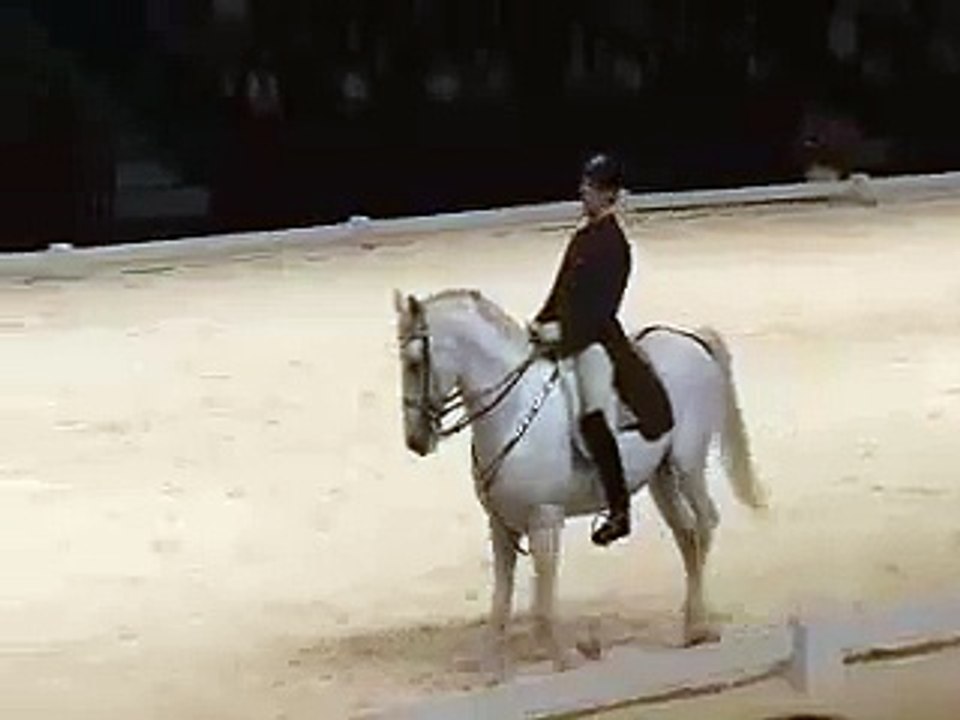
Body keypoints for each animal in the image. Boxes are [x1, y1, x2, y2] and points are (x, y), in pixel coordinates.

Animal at [392, 287, 767, 679]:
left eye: (414, 362)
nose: (415, 441)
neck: (514, 410)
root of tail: (690, 339)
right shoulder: (500, 525)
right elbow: (501, 601)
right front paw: (491, 668)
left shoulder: (544, 519)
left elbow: (542, 601)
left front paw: (563, 658)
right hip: (661, 477)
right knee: (687, 534)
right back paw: (692, 627)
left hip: (687, 464)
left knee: (705, 524)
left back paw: (699, 624)